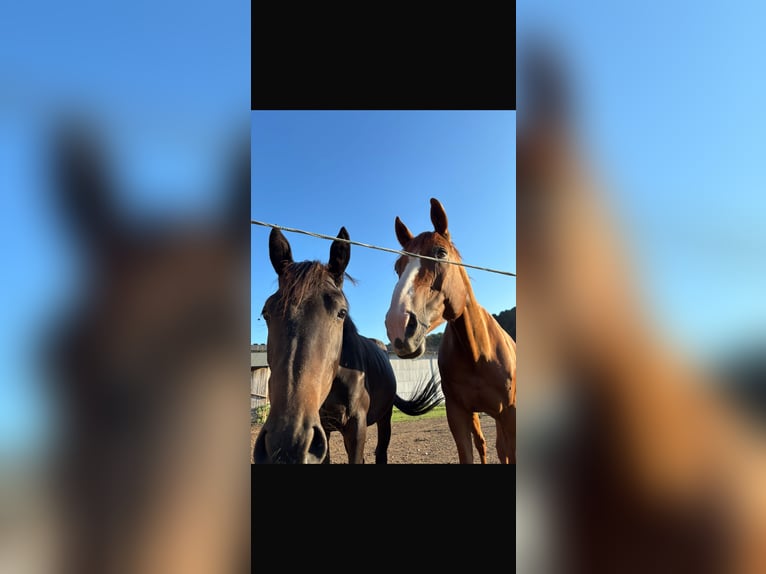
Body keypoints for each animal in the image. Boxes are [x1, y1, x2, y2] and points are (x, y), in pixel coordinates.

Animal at [253, 227, 442, 464]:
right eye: (266, 312)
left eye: (341, 312)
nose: (288, 442)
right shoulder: (321, 431)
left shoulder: (356, 427)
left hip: (384, 417)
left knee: (381, 451)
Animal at [384, 198, 517, 464]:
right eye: (397, 266)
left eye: (441, 253)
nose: (398, 325)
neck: (478, 353)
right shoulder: (458, 416)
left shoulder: (509, 413)